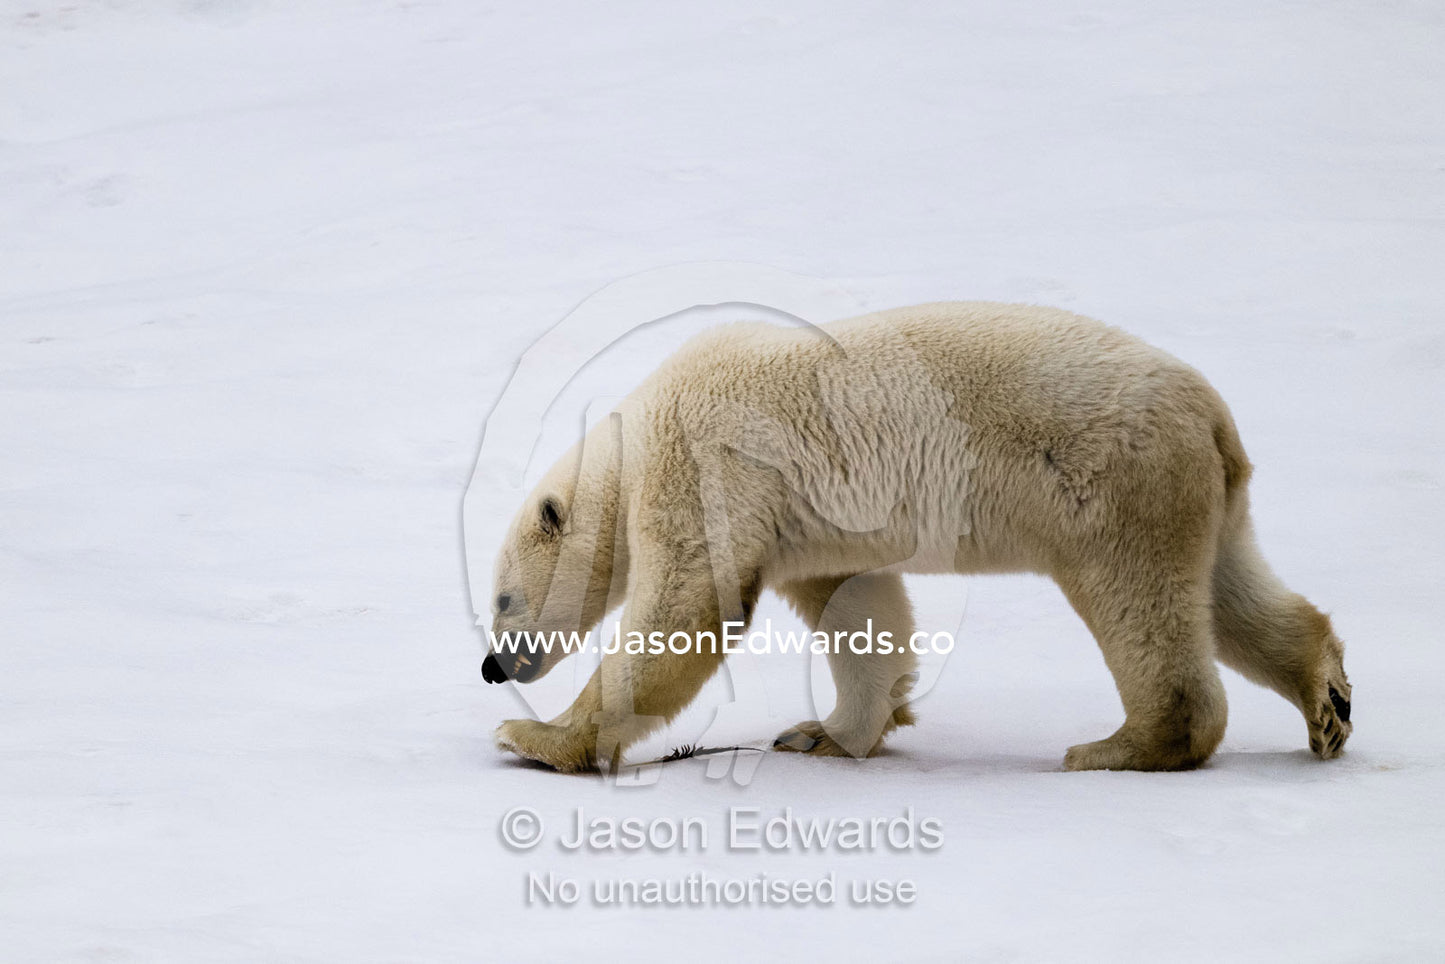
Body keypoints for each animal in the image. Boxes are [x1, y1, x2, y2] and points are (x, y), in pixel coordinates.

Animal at [482, 301, 1352, 773]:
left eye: (500, 599)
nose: (493, 666)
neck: (631, 447)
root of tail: (1211, 416)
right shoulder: (807, 525)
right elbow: (857, 606)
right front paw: (822, 734)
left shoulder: (704, 465)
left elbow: (685, 609)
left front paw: (535, 735)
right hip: (1200, 495)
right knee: (1228, 588)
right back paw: (1327, 701)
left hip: (1108, 486)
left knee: (1139, 604)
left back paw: (1116, 747)